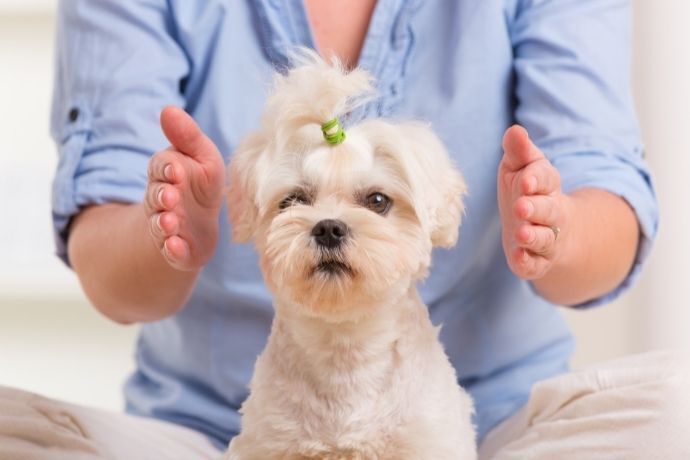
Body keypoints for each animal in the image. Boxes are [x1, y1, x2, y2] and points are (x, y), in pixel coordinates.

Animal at [223, 52, 476, 458]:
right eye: (293, 200)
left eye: (378, 200)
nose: (328, 228)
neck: (344, 353)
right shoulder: (270, 442)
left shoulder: (427, 439)